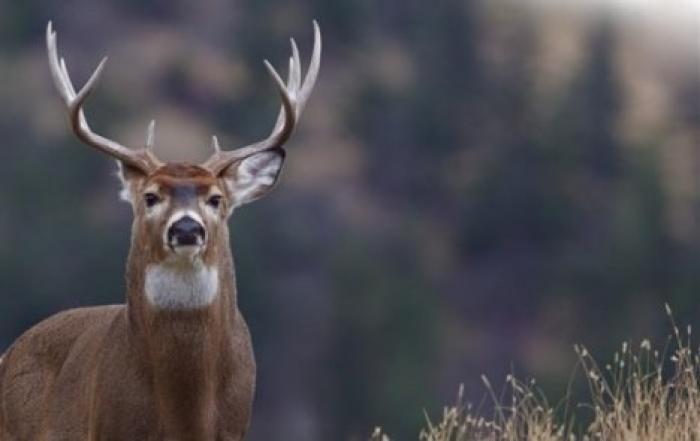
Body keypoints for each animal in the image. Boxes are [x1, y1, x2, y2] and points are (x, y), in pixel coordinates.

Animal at [0, 20, 322, 440]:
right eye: (150, 196)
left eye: (216, 198)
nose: (186, 228)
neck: (186, 413)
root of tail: (10, 352)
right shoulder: (110, 428)